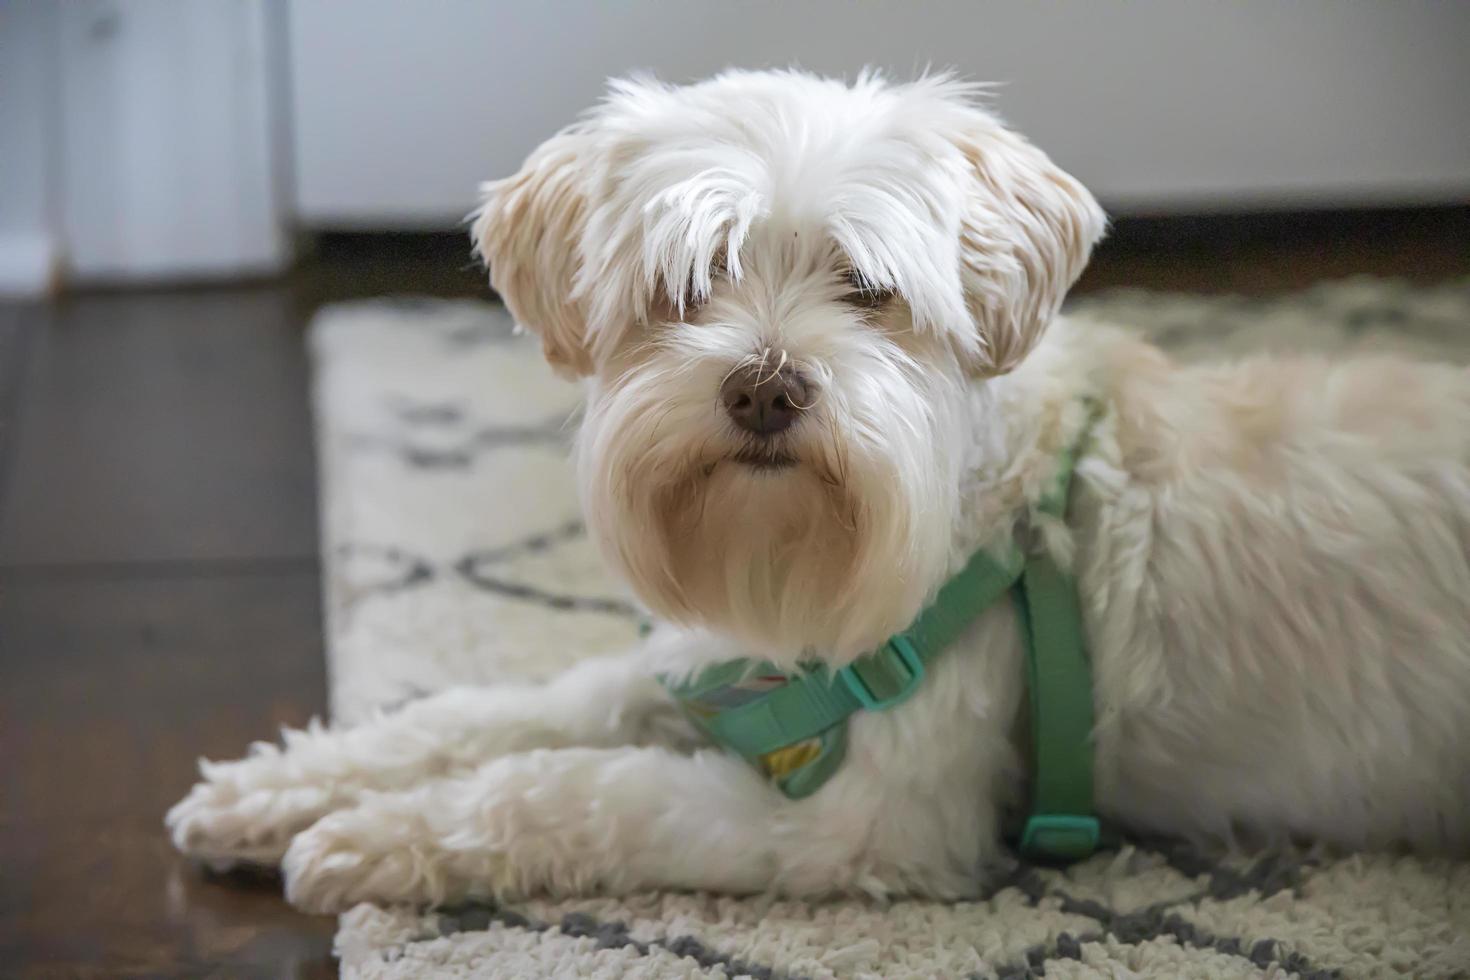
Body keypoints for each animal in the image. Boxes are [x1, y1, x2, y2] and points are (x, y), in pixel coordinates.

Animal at [169, 69, 1470, 910]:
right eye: (688, 279)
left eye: (869, 286)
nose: (764, 388)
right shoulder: (712, 660)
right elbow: (509, 713)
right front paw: (279, 787)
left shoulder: (856, 825)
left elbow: (583, 788)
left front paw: (370, 836)